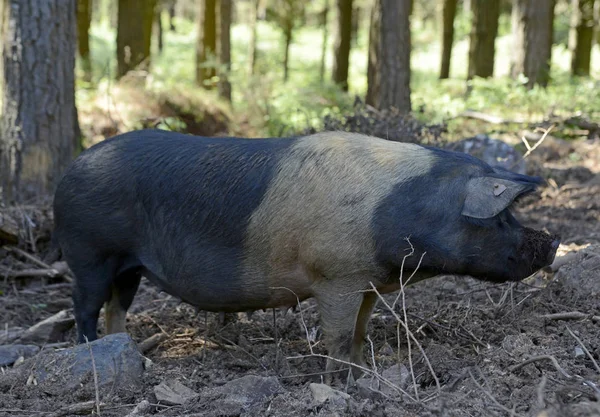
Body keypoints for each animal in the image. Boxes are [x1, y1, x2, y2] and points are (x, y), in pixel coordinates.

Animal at [50, 128, 556, 378]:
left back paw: (138, 356)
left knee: (117, 307)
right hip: (90, 250)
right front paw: (337, 383)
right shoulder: (336, 275)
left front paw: (361, 373)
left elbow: (360, 331)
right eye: (503, 217)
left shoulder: (367, 282)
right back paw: (91, 353)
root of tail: (72, 165)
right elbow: (337, 335)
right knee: (84, 305)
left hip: (129, 266)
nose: (551, 242)